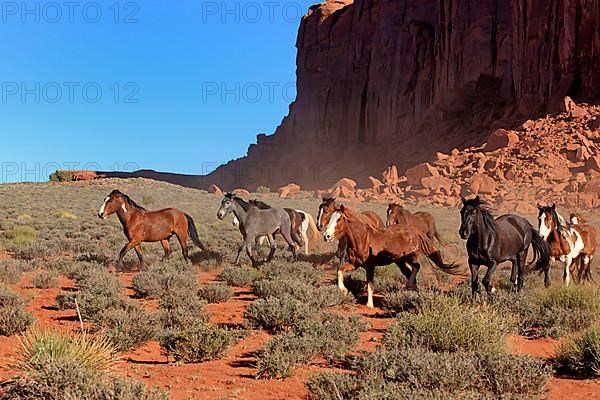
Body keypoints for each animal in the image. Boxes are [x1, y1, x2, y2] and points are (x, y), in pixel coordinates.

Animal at [324, 205, 460, 308]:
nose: (327, 236)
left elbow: (370, 285)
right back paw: (413, 289)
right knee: (409, 272)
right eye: (330, 218)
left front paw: (369, 305)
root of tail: (414, 231)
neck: (362, 239)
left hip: (410, 257)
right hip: (400, 261)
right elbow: (339, 270)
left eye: (339, 219)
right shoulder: (355, 264)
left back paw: (410, 285)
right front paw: (343, 290)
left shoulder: (370, 266)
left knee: (416, 267)